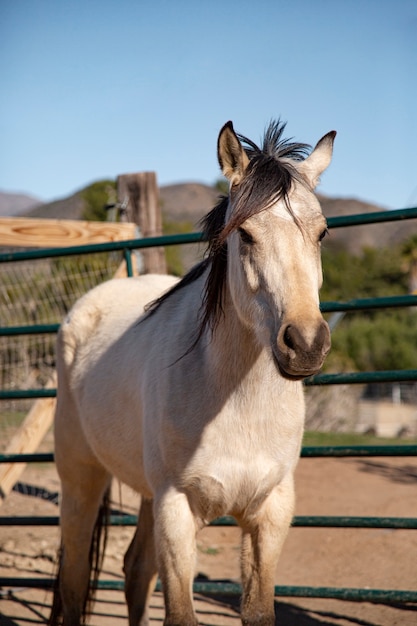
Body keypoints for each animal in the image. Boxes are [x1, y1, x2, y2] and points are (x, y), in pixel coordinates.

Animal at [49, 118, 334, 624]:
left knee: (135, 570)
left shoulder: (270, 513)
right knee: (75, 578)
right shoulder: (176, 509)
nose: (305, 344)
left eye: (321, 233)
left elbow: (257, 610)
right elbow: (180, 613)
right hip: (81, 479)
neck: (234, 403)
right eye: (246, 235)